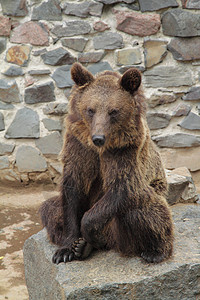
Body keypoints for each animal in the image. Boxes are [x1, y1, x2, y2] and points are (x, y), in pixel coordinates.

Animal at [39, 62, 173, 264]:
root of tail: (112, 242)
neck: (100, 149)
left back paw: (155, 251)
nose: (98, 138)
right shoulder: (78, 145)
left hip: (125, 225)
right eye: (90, 109)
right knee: (49, 208)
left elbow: (123, 186)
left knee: (143, 209)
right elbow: (72, 187)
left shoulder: (125, 149)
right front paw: (67, 249)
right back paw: (83, 247)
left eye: (113, 111)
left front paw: (88, 233)